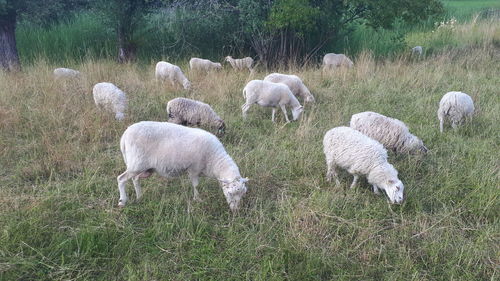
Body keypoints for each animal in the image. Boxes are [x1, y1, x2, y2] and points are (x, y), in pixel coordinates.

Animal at [117, 121, 250, 211]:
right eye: (230, 193)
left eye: (243, 194)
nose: (236, 211)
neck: (214, 160)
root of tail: (124, 135)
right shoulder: (194, 169)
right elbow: (196, 185)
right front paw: (198, 199)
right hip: (136, 164)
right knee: (121, 179)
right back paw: (122, 201)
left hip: (144, 168)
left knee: (135, 179)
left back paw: (140, 197)